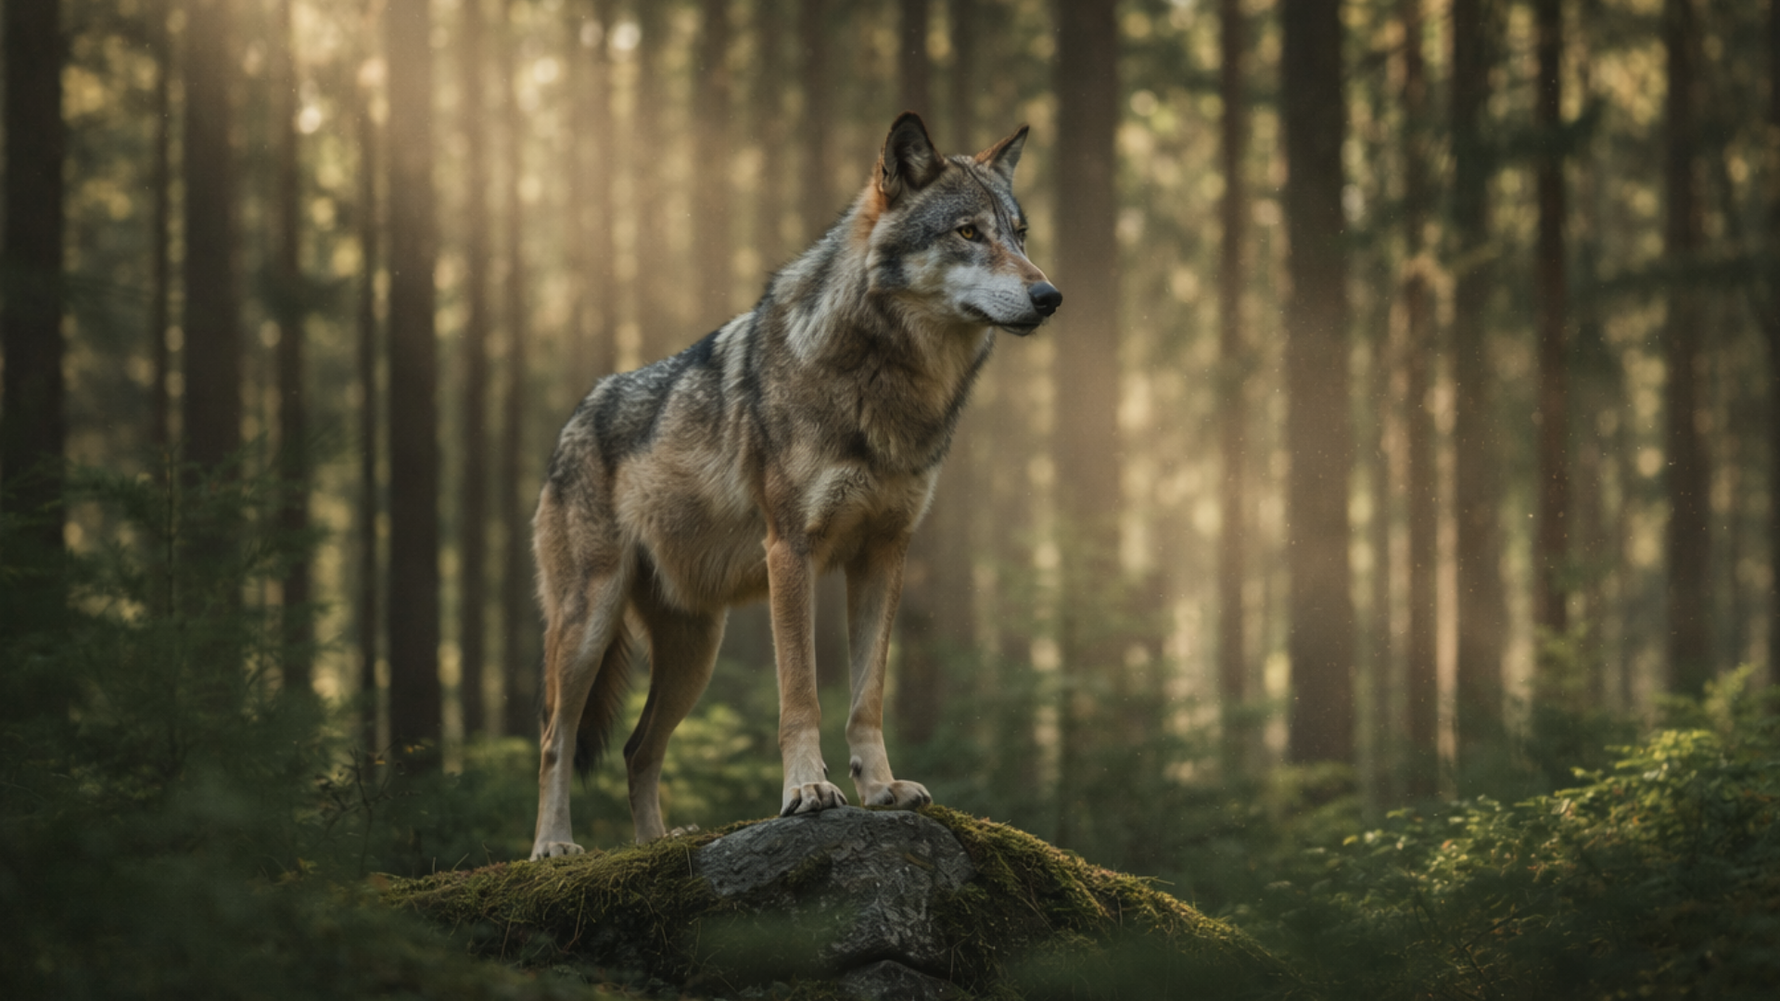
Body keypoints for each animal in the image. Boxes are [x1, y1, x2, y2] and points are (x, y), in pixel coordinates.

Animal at [528, 113, 1061, 859]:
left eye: (1019, 233)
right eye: (967, 232)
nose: (1050, 296)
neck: (886, 379)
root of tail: (573, 419)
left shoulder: (884, 556)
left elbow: (867, 696)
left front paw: (881, 788)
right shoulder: (792, 552)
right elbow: (801, 694)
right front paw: (807, 790)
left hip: (695, 651)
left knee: (638, 749)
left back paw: (656, 845)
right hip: (589, 624)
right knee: (555, 738)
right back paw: (553, 847)